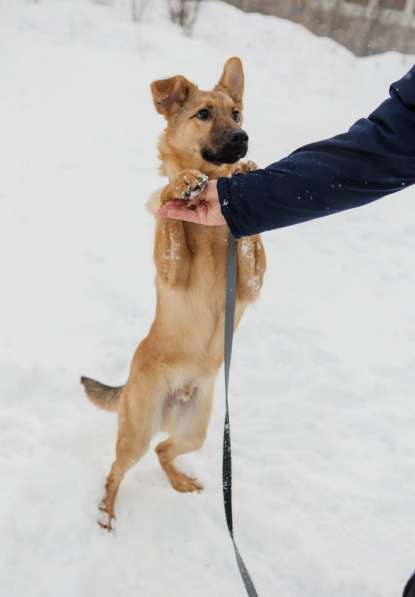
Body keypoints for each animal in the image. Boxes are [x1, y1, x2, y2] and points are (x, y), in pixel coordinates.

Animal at [81, 58, 266, 528]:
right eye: (203, 114)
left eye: (236, 113)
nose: (242, 139)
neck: (213, 231)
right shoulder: (172, 269)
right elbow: (169, 213)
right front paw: (179, 184)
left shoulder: (252, 281)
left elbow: (251, 241)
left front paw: (245, 171)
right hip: (138, 429)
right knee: (116, 469)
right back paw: (106, 514)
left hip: (196, 428)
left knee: (165, 451)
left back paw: (180, 481)